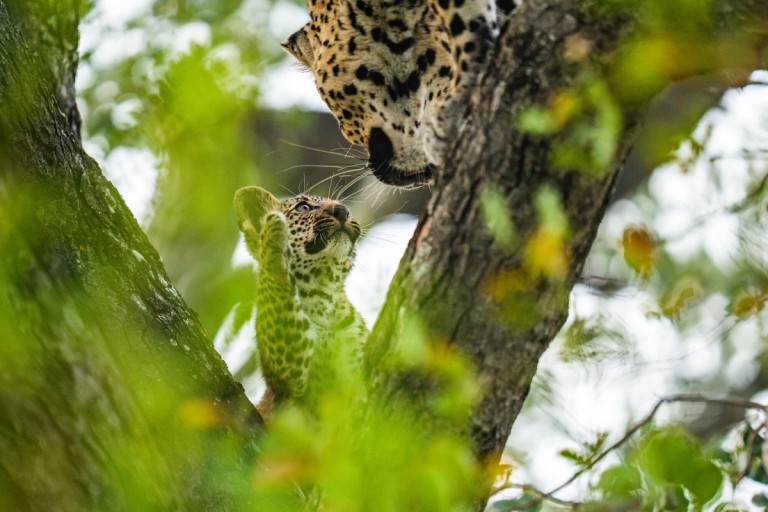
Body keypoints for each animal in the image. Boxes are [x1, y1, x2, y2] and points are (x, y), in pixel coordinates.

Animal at [234, 186, 368, 418]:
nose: (342, 210)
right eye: (303, 207)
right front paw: (272, 236)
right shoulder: (292, 369)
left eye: (344, 208)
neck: (324, 297)